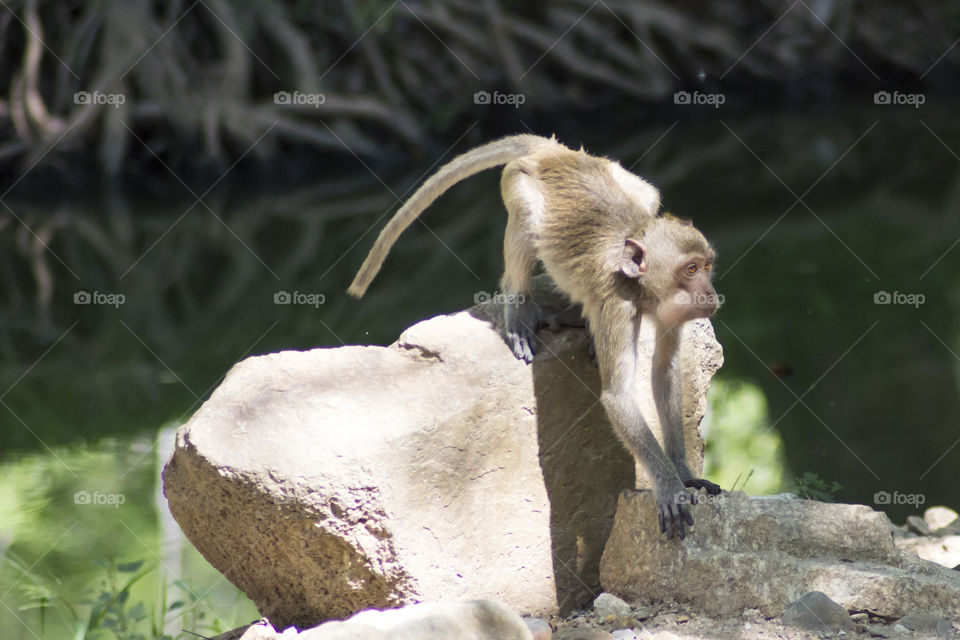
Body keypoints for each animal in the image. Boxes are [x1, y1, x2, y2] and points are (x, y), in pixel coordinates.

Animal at [348, 134, 721, 539]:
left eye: (706, 266)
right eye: (690, 270)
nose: (710, 294)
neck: (640, 289)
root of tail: (556, 153)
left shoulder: (669, 313)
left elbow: (665, 373)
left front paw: (682, 472)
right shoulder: (617, 305)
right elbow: (618, 397)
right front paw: (669, 486)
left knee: (648, 195)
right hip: (519, 180)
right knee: (526, 214)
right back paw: (519, 307)